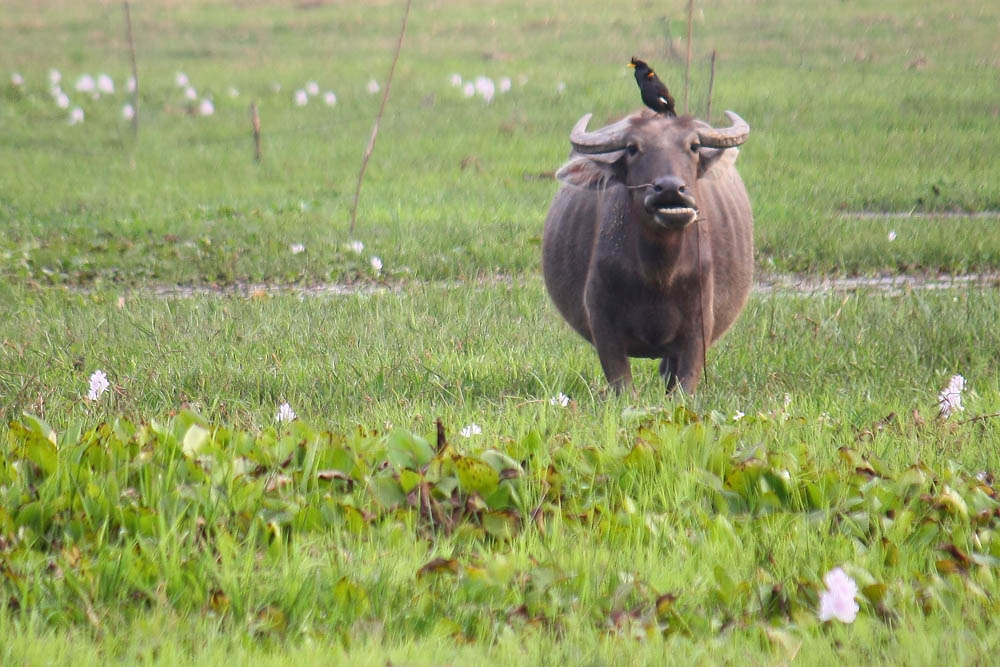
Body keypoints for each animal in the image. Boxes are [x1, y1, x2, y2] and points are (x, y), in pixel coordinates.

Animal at [548, 107, 752, 394]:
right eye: (632, 148)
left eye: (694, 146)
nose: (670, 188)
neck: (659, 273)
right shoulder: (603, 324)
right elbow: (622, 387)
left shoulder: (698, 329)